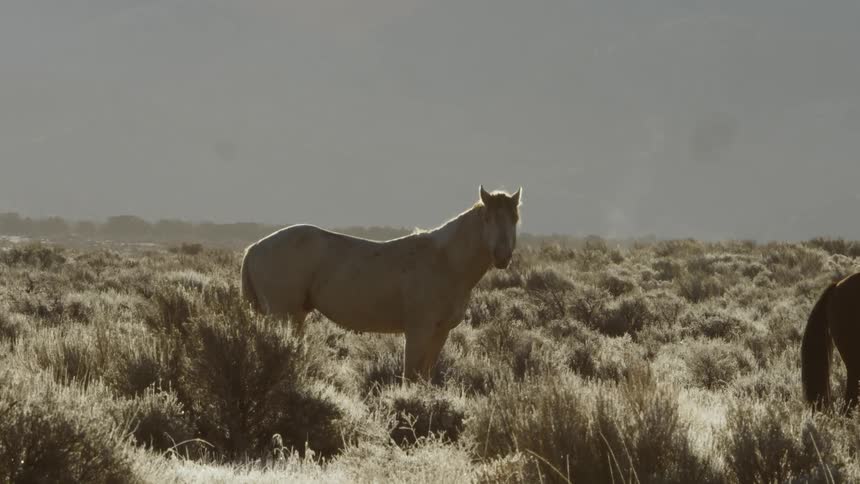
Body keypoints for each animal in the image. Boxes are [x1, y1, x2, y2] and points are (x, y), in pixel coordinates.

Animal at [240, 185, 522, 382]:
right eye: (487, 219)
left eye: (515, 219)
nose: (502, 256)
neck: (446, 262)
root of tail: (254, 248)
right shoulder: (418, 331)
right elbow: (411, 376)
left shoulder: (441, 332)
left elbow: (425, 377)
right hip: (283, 315)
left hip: (295, 316)